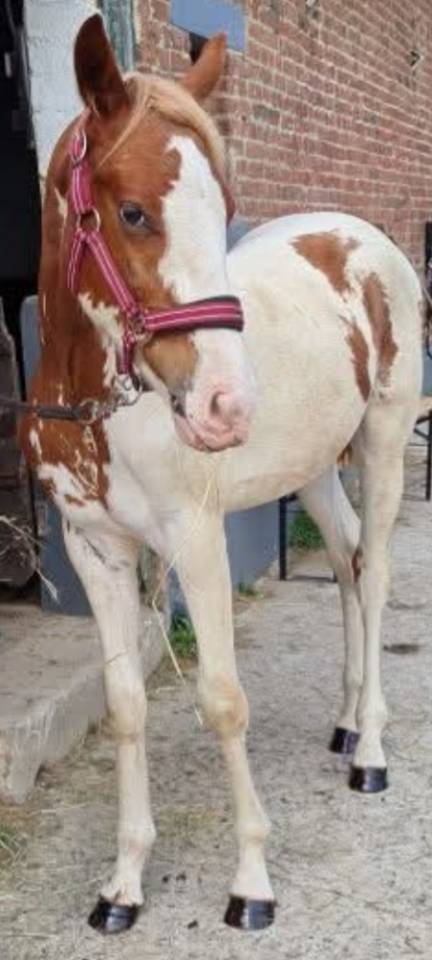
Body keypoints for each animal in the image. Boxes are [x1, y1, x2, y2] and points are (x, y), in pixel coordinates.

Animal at [20, 14, 423, 935]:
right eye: (132, 211)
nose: (226, 407)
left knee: (378, 572)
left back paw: (371, 749)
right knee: (347, 562)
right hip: (314, 469)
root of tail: (362, 237)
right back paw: (344, 722)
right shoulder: (95, 549)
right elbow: (127, 704)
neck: (101, 402)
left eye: (227, 211)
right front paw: (123, 886)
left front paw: (251, 884)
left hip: (383, 443)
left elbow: (222, 698)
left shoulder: (195, 540)